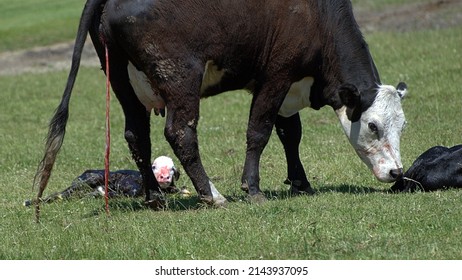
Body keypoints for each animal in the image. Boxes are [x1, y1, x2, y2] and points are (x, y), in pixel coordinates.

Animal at [24, 155, 188, 206]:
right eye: (154, 167)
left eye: (172, 169)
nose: (164, 177)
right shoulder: (129, 187)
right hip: (90, 178)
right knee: (65, 192)